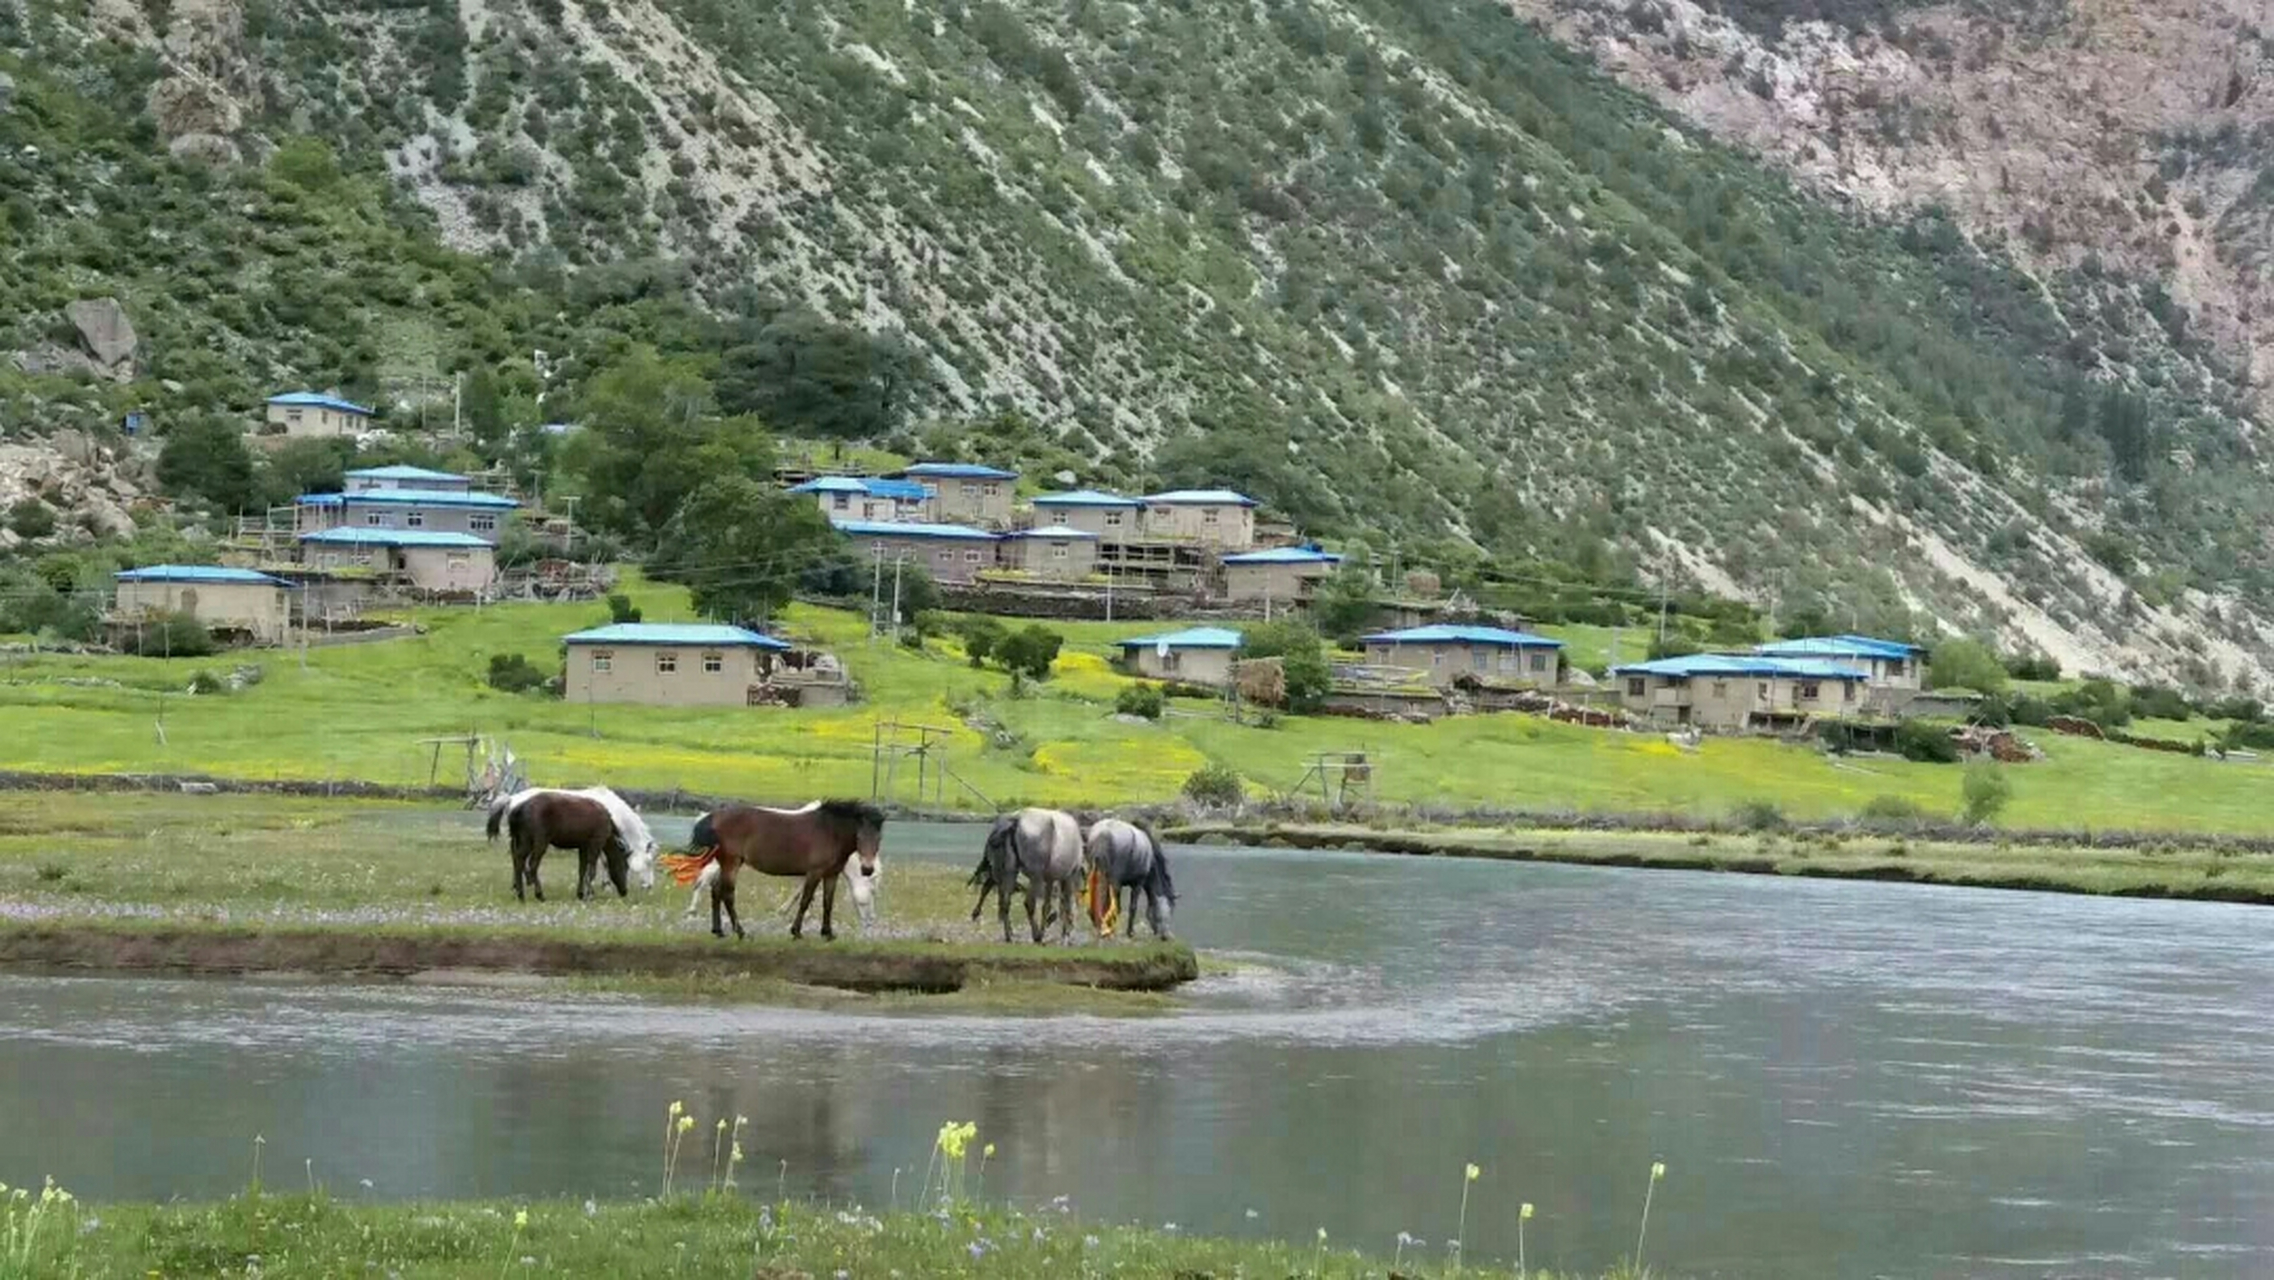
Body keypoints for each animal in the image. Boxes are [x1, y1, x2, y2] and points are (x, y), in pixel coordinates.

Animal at [498, 791, 632, 900]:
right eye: (625, 866)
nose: (625, 891)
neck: (608, 824)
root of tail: (518, 809)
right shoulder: (596, 843)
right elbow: (591, 871)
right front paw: (589, 895)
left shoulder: (583, 846)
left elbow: (582, 870)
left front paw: (580, 893)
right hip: (539, 841)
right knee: (532, 864)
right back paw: (539, 894)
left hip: (523, 840)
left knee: (518, 860)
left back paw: (520, 894)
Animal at [664, 800, 882, 941]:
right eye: (860, 836)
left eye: (878, 837)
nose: (867, 869)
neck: (829, 831)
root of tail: (712, 816)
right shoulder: (814, 872)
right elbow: (805, 900)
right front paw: (796, 931)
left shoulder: (831, 874)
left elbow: (827, 903)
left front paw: (827, 933)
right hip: (731, 863)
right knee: (726, 893)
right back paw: (741, 932)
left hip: (726, 863)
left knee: (716, 891)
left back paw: (718, 931)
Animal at [973, 804, 1086, 945]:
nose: (1070, 933)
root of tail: (1016, 820)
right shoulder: (1068, 877)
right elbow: (1064, 905)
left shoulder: (1050, 879)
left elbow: (1047, 906)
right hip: (1034, 877)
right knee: (1029, 903)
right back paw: (1036, 935)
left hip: (1009, 872)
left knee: (1005, 902)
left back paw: (1009, 935)